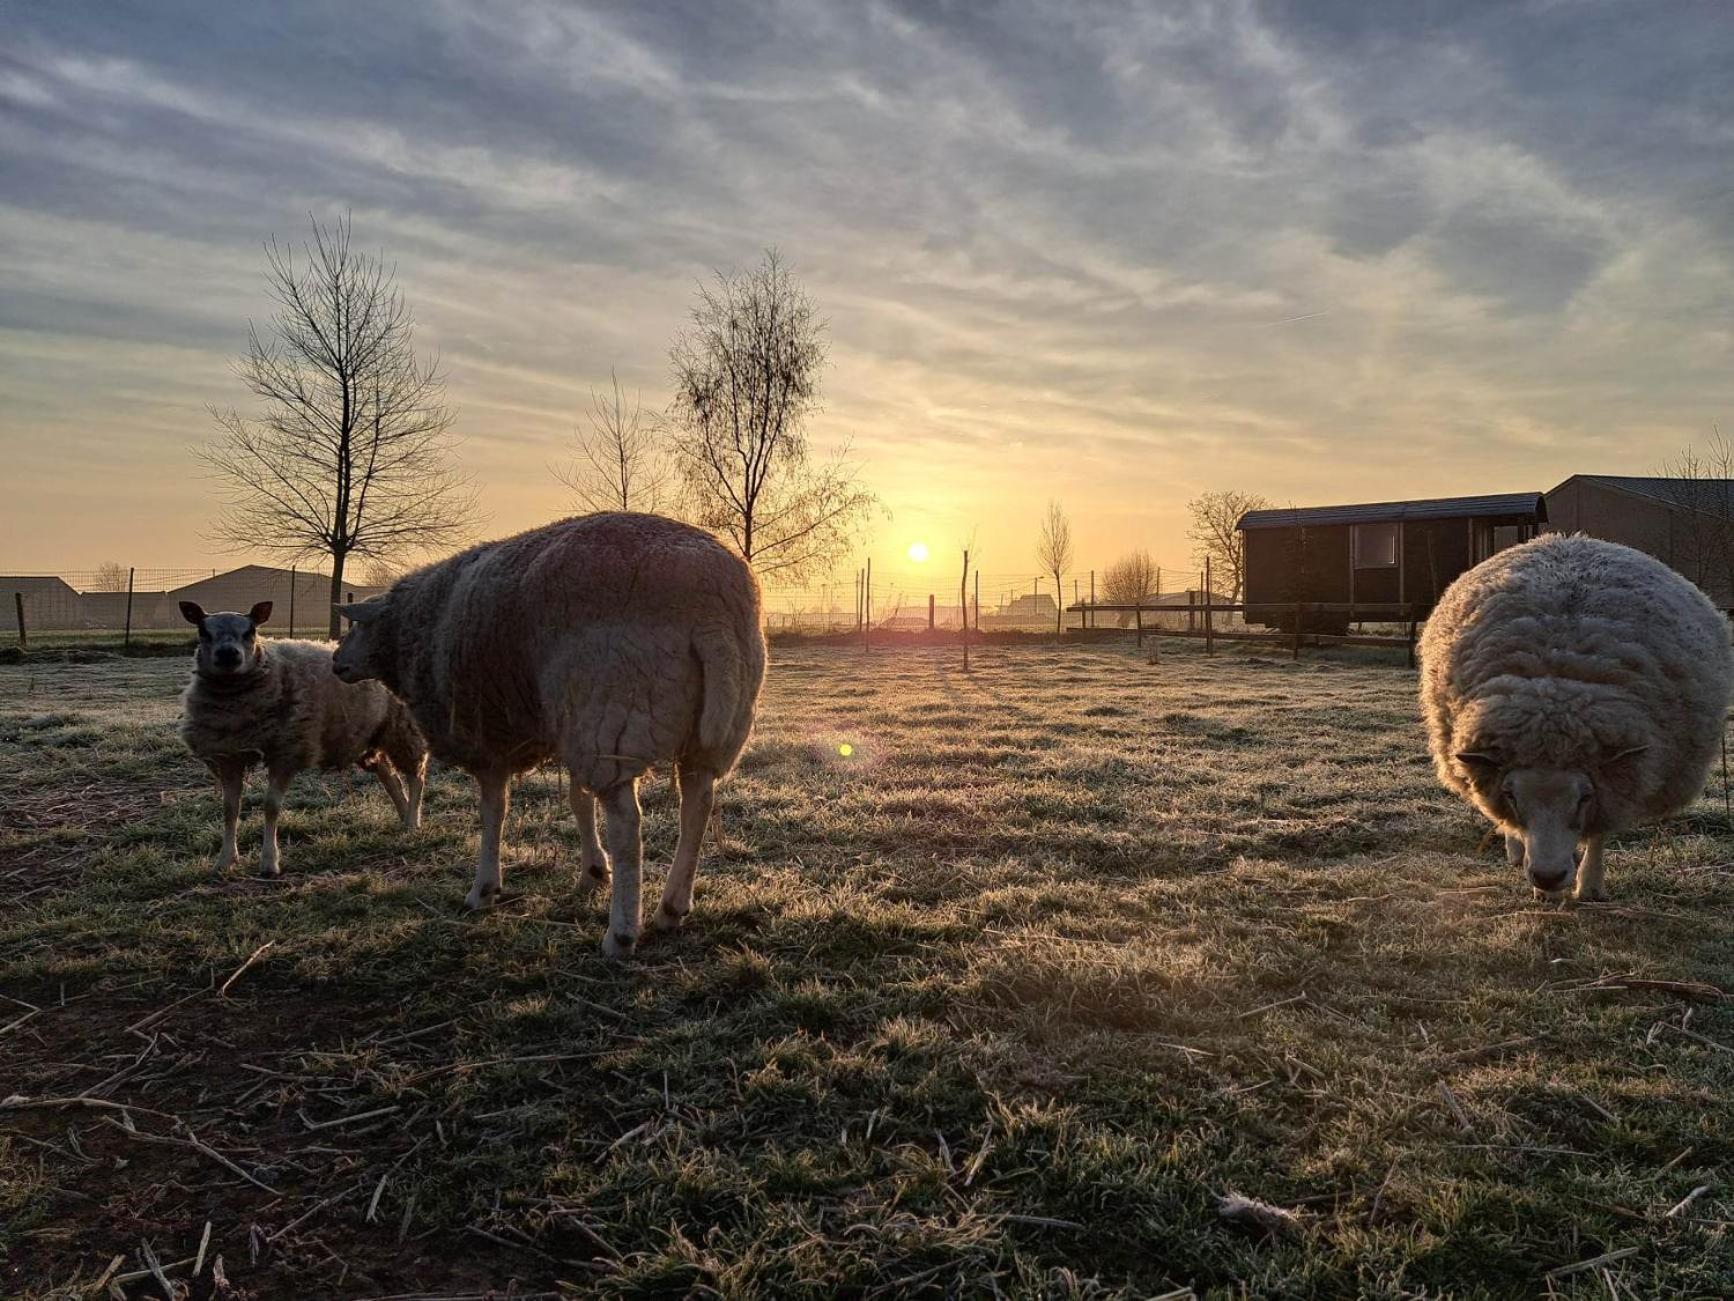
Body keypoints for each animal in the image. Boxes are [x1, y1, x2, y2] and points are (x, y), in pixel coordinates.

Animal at [179, 600, 430, 877]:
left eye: (251, 630)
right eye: (203, 631)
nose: (228, 654)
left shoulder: (286, 751)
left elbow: (270, 806)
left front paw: (269, 862)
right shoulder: (229, 756)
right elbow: (229, 809)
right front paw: (225, 861)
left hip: (404, 731)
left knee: (416, 777)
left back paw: (413, 821)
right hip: (372, 736)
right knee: (391, 778)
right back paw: (404, 817)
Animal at [331, 513, 766, 957]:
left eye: (358, 626)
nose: (336, 663)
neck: (413, 629)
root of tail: (711, 604)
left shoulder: (489, 738)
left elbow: (494, 811)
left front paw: (483, 889)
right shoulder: (564, 726)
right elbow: (578, 801)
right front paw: (593, 871)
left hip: (609, 713)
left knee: (628, 825)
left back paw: (621, 933)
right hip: (702, 728)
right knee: (696, 804)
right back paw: (671, 909)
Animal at [1421, 534, 1734, 902]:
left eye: (1584, 797)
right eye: (1511, 795)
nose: (1547, 877)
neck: (1556, 677)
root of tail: (1568, 537)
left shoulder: (1614, 783)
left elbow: (1598, 834)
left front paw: (1589, 885)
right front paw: (1546, 889)